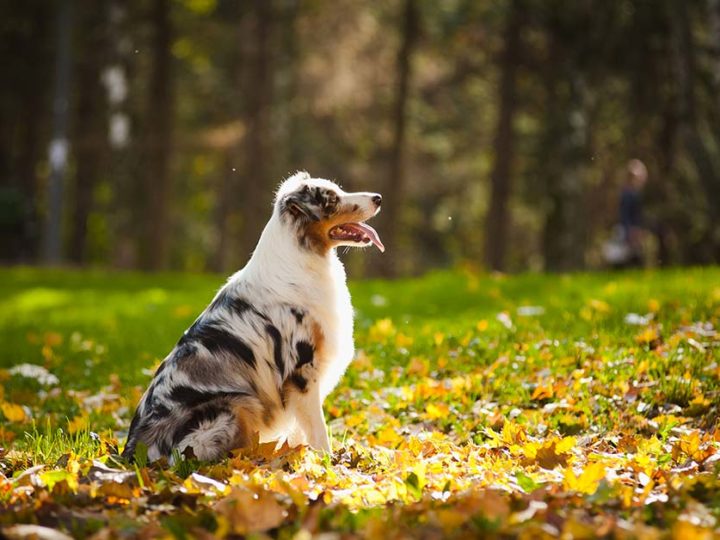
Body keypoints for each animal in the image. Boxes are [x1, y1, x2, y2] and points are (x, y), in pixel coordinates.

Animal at [121, 173, 386, 460]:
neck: (303, 256)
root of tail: (131, 451)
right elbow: (318, 429)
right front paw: (328, 462)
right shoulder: (302, 372)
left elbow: (301, 430)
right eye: (332, 200)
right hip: (236, 405)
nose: (378, 198)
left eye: (339, 190)